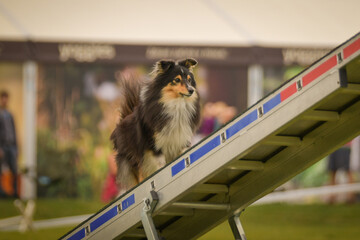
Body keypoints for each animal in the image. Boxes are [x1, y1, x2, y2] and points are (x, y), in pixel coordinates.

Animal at [111, 58, 201, 191]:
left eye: (189, 80)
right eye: (177, 80)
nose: (191, 90)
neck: (176, 104)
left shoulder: (181, 141)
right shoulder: (155, 146)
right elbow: (159, 168)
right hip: (132, 159)